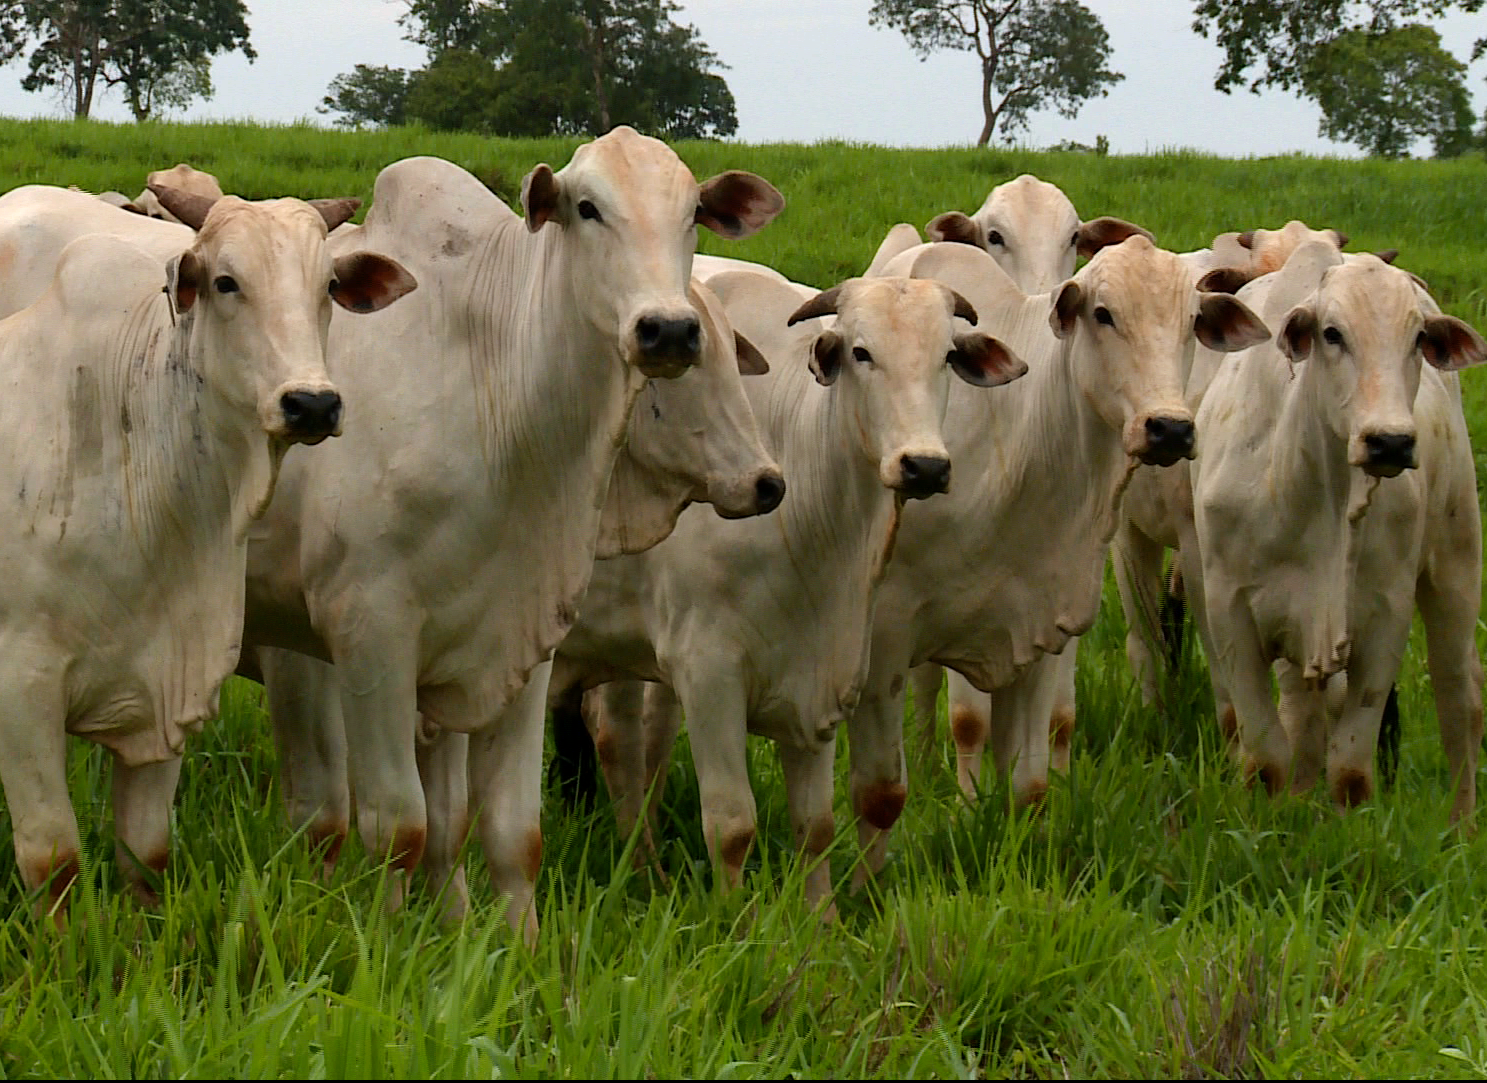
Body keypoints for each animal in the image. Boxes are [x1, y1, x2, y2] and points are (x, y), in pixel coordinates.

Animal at [0, 191, 416, 904]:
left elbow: (146, 854)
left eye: (328, 287)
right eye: (226, 282)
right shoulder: (21, 690)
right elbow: (54, 865)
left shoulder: (166, 683)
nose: (312, 404)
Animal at [237, 127, 785, 946]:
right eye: (587, 207)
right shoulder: (370, 637)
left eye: (692, 213)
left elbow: (505, 829)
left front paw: (511, 946)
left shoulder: (522, 639)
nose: (668, 328)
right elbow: (399, 826)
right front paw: (390, 945)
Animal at [544, 270, 1023, 904]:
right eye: (861, 352)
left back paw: (645, 869)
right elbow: (731, 826)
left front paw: (820, 917)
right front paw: (732, 917)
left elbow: (814, 825)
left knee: (617, 740)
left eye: (946, 355)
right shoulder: (708, 673)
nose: (924, 466)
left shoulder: (819, 679)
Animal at [838, 236, 1266, 880]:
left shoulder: (1037, 623)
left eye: (1192, 322)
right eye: (1103, 314)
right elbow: (956, 730)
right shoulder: (894, 622)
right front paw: (962, 810)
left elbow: (1030, 779)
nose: (1168, 429)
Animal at [1189, 243, 1481, 821]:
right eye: (1332, 333)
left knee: (1459, 698)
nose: (1390, 442)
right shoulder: (1229, 610)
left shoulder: (1386, 617)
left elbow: (1350, 769)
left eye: (1418, 338)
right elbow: (1266, 759)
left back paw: (1462, 825)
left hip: (1456, 564)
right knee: (1304, 711)